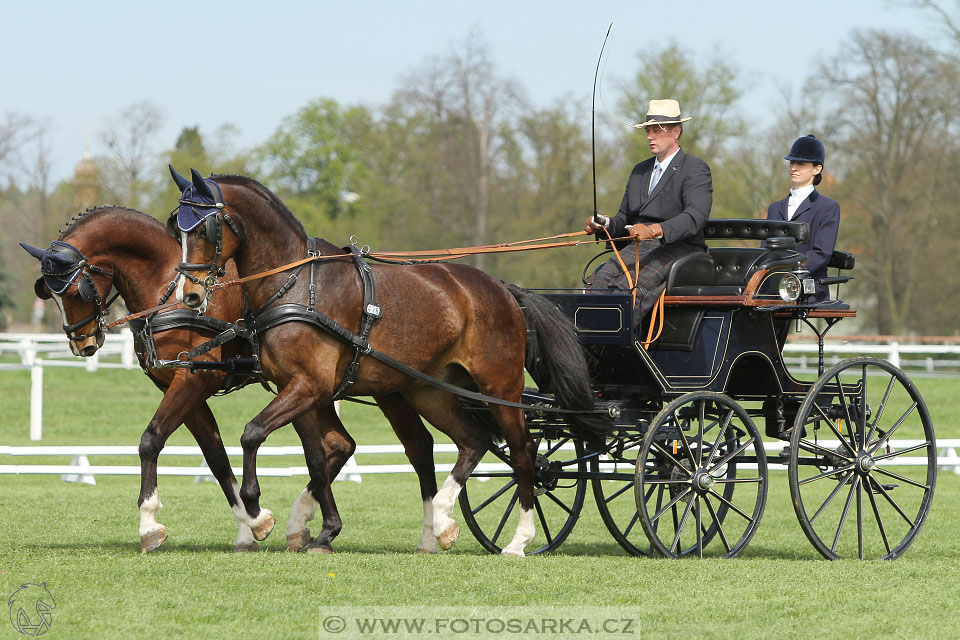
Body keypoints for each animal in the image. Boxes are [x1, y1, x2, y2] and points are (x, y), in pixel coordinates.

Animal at [172, 166, 608, 556]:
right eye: (176, 228)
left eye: (205, 229)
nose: (189, 296)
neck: (297, 286)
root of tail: (503, 289)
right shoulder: (299, 389)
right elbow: (317, 458)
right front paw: (321, 531)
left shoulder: (309, 386)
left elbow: (252, 434)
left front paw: (258, 513)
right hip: (430, 391)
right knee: (472, 441)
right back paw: (441, 522)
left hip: (500, 386)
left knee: (522, 454)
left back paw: (516, 540)